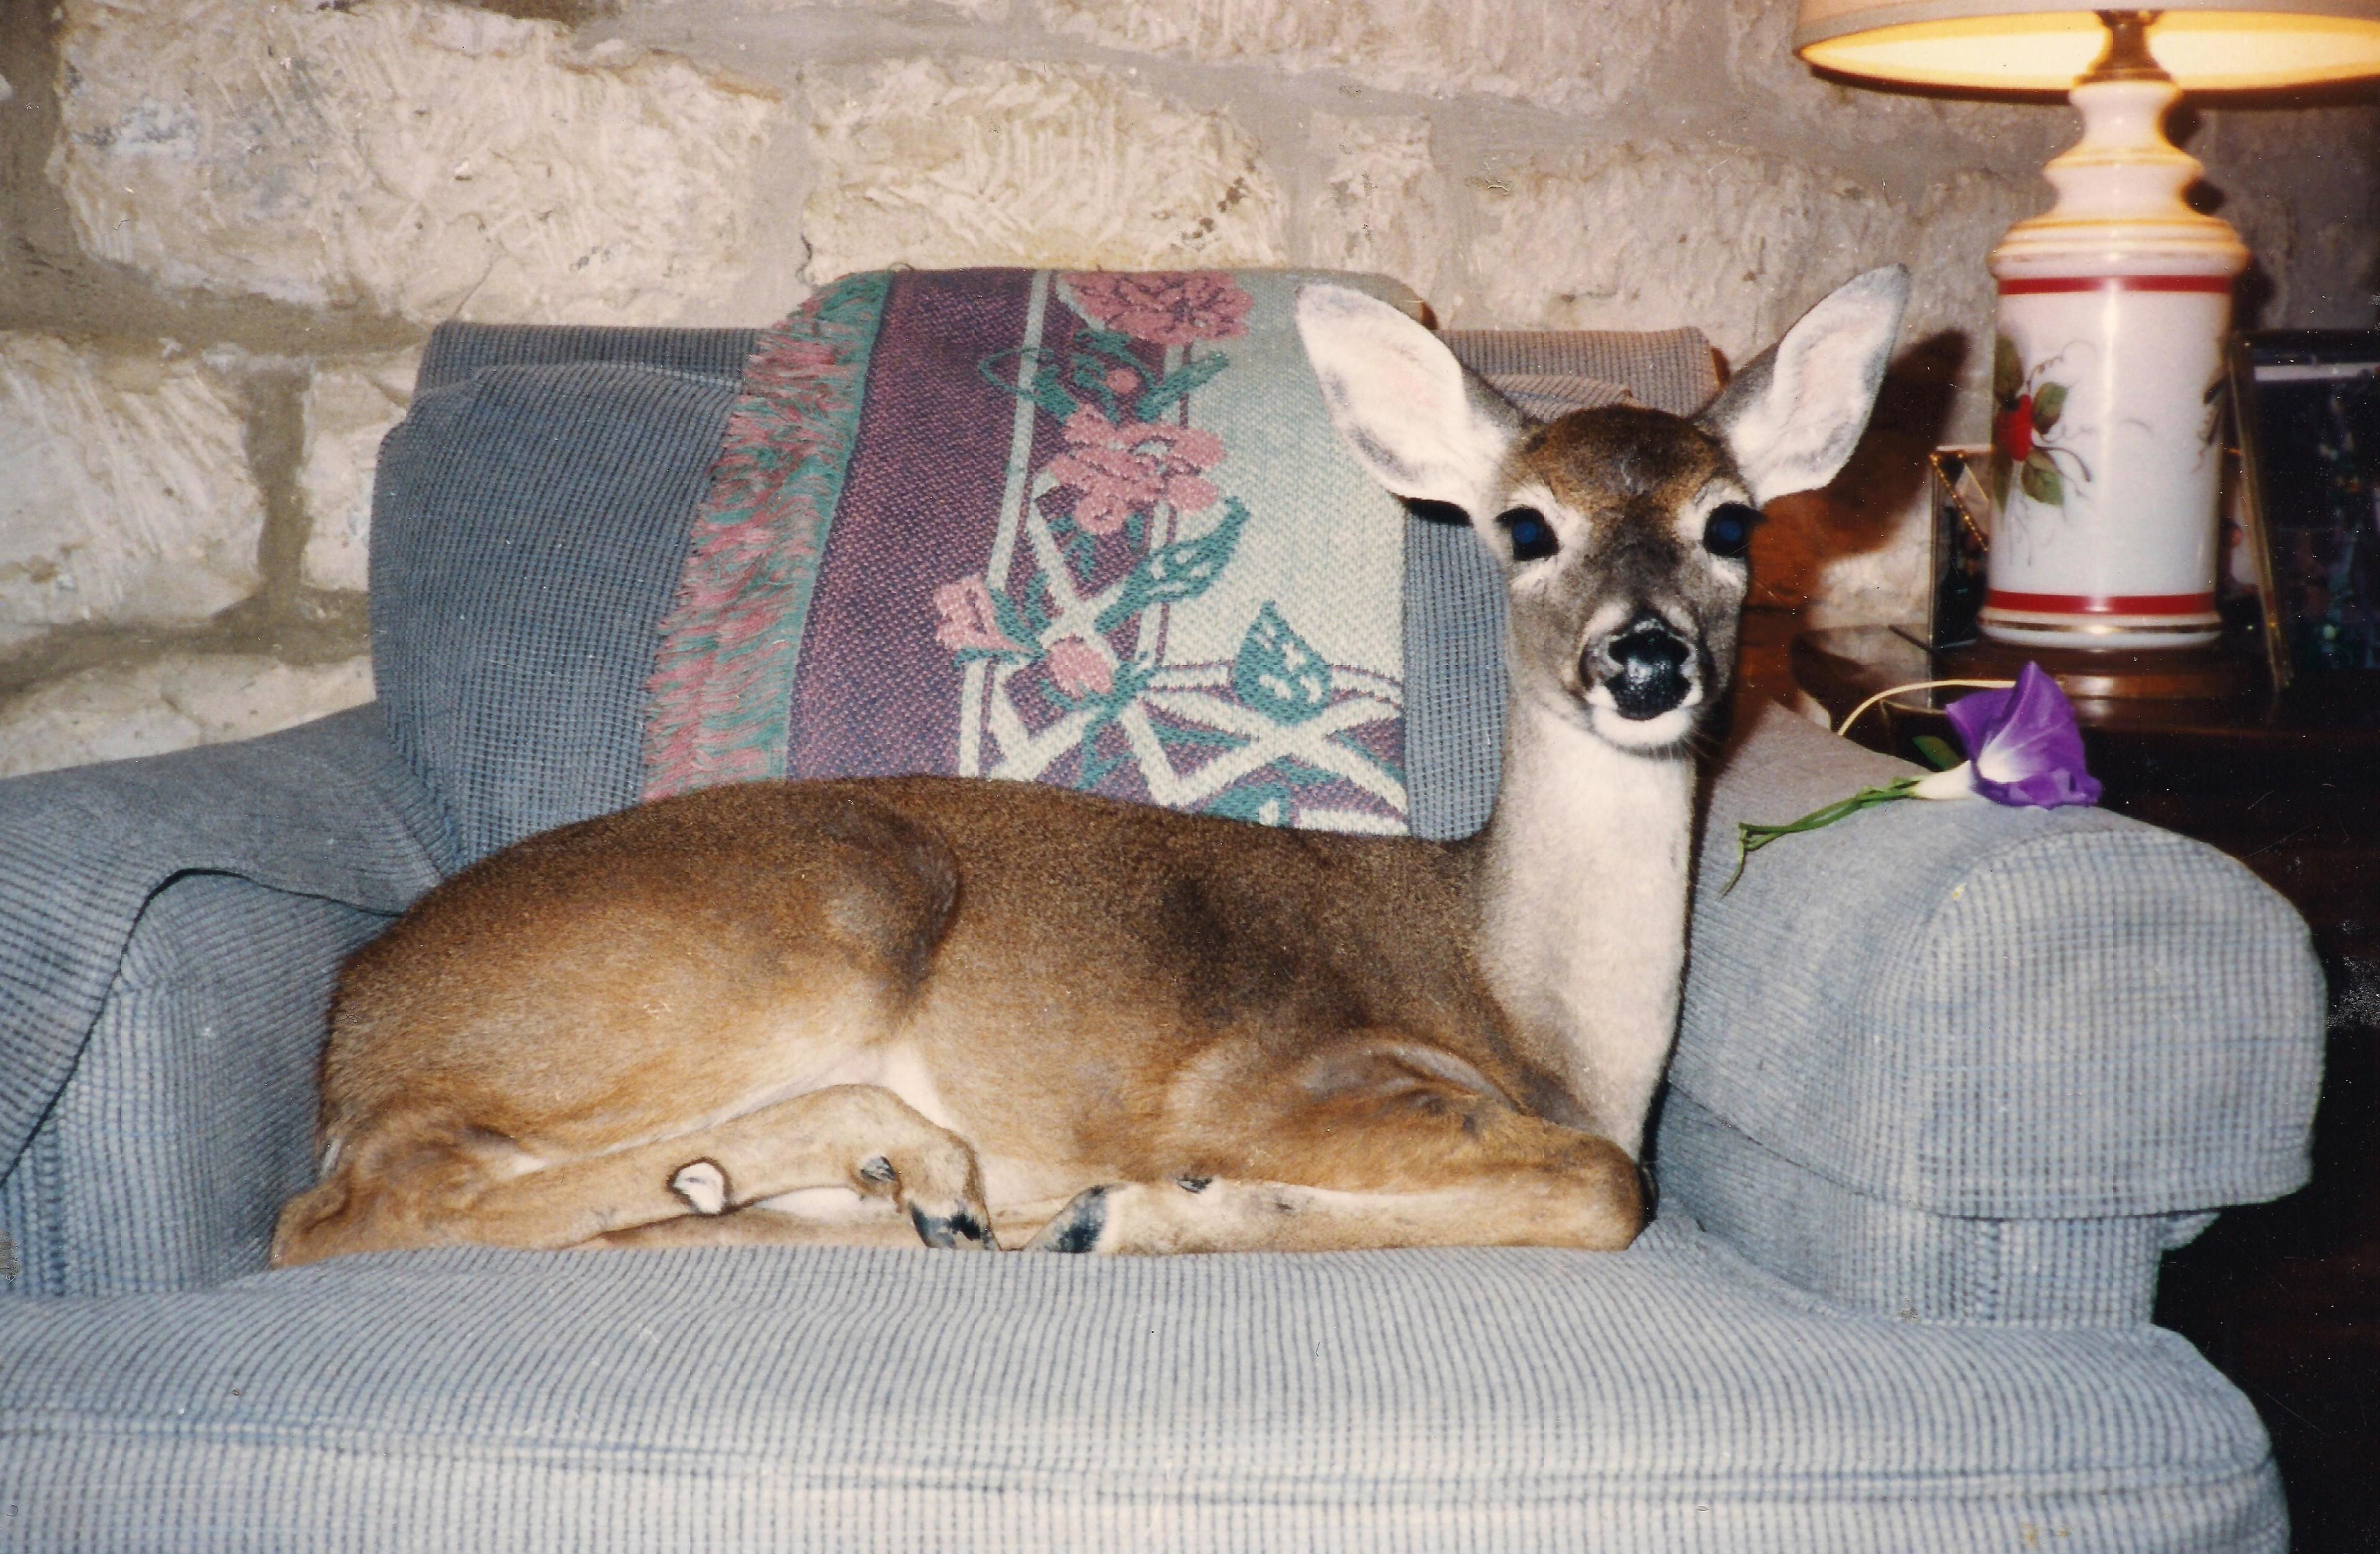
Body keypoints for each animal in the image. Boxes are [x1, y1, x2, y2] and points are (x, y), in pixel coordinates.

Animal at [271, 266, 1908, 1266]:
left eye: (1730, 521)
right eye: (1524, 526)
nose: (1644, 660)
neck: (1543, 1020)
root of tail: (356, 1023)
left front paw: (1125, 1212)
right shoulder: (1278, 1072)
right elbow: (1603, 1184)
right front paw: (1150, 1209)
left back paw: (884, 1193)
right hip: (818, 917)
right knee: (356, 1205)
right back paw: (921, 1168)